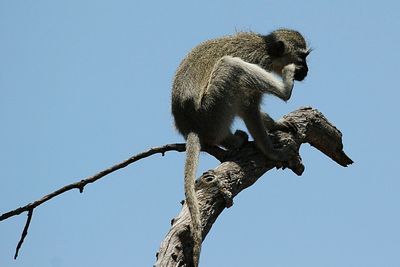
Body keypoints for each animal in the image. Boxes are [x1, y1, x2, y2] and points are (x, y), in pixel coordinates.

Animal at [170, 28, 310, 266]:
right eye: (302, 58)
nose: (307, 70)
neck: (266, 47)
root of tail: (192, 126)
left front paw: (275, 123)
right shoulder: (259, 63)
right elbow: (249, 108)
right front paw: (271, 150)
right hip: (214, 108)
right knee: (232, 65)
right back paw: (284, 90)